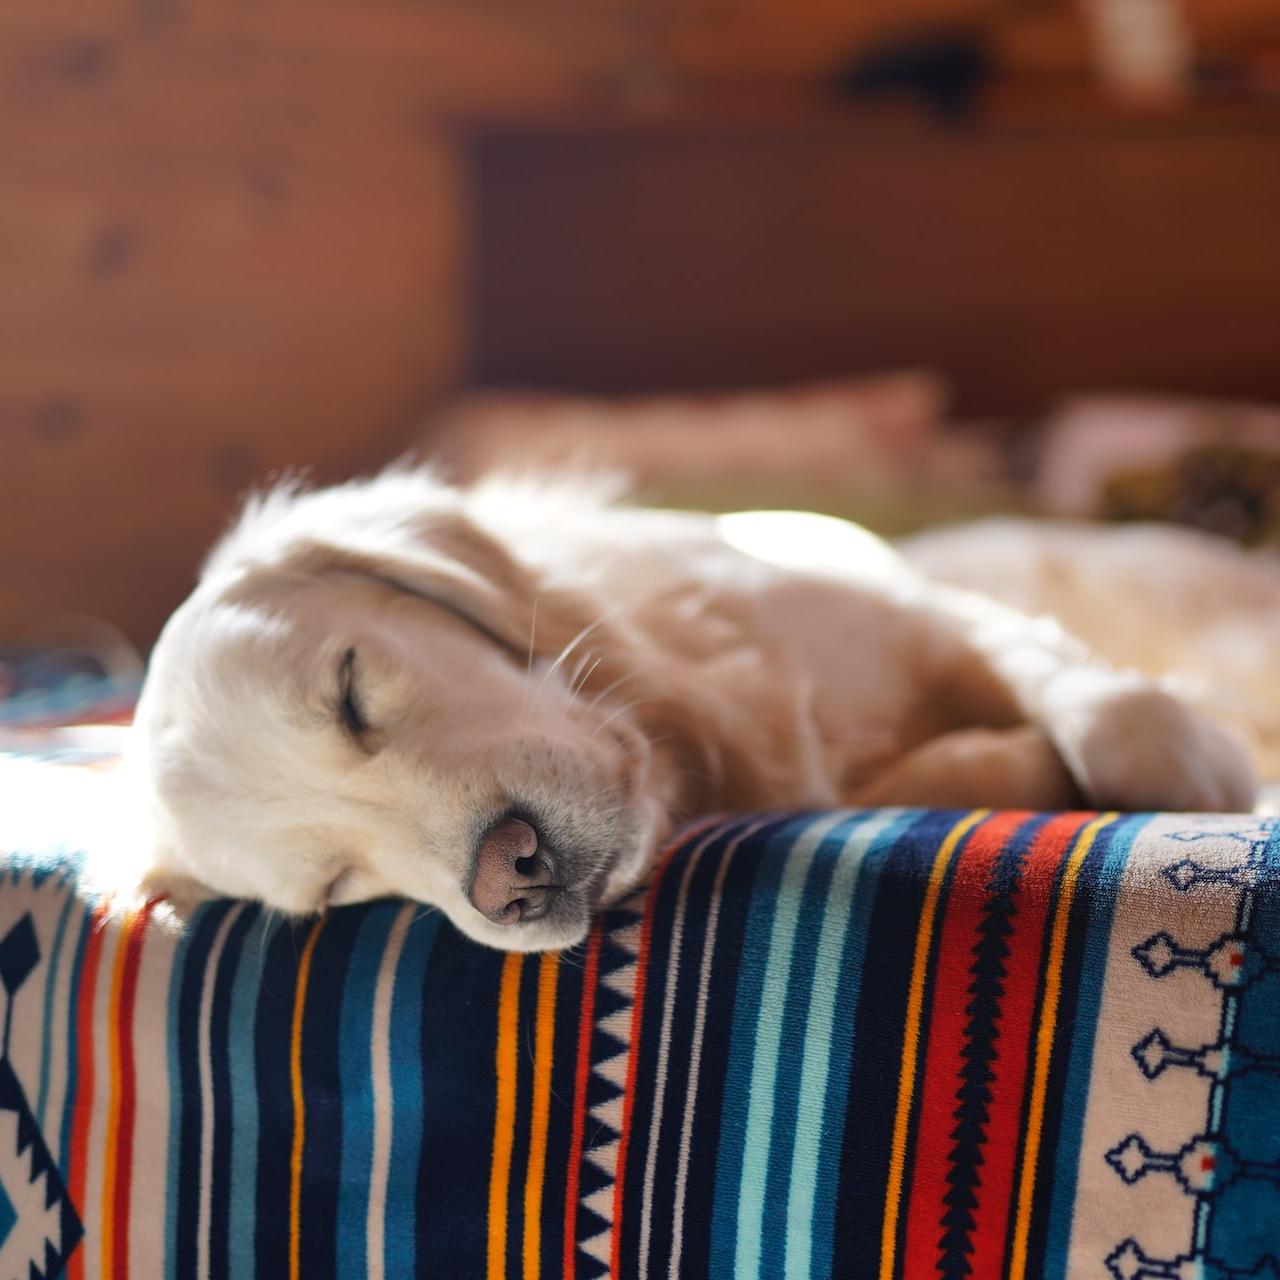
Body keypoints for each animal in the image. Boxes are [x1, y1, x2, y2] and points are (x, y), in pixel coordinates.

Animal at [132, 471, 1259, 952]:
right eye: (333, 887)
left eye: (352, 691)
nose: (508, 878)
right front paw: (1015, 760)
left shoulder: (921, 613)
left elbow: (1107, 712)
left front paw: (1203, 768)